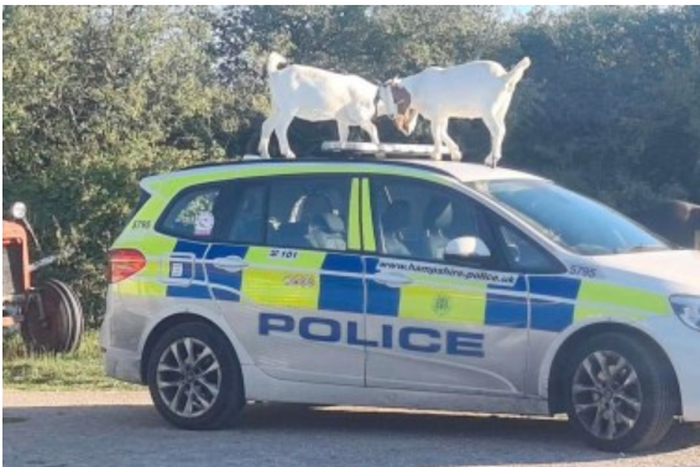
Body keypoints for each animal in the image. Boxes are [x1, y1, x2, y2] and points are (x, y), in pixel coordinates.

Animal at [377, 57, 531, 166]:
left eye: (395, 98)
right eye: (383, 99)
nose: (391, 116)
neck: (417, 88)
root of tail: (503, 77)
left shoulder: (436, 114)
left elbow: (436, 132)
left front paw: (436, 154)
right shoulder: (443, 115)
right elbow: (443, 131)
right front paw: (456, 153)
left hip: (489, 111)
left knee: (497, 131)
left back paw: (490, 159)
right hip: (501, 109)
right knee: (502, 129)